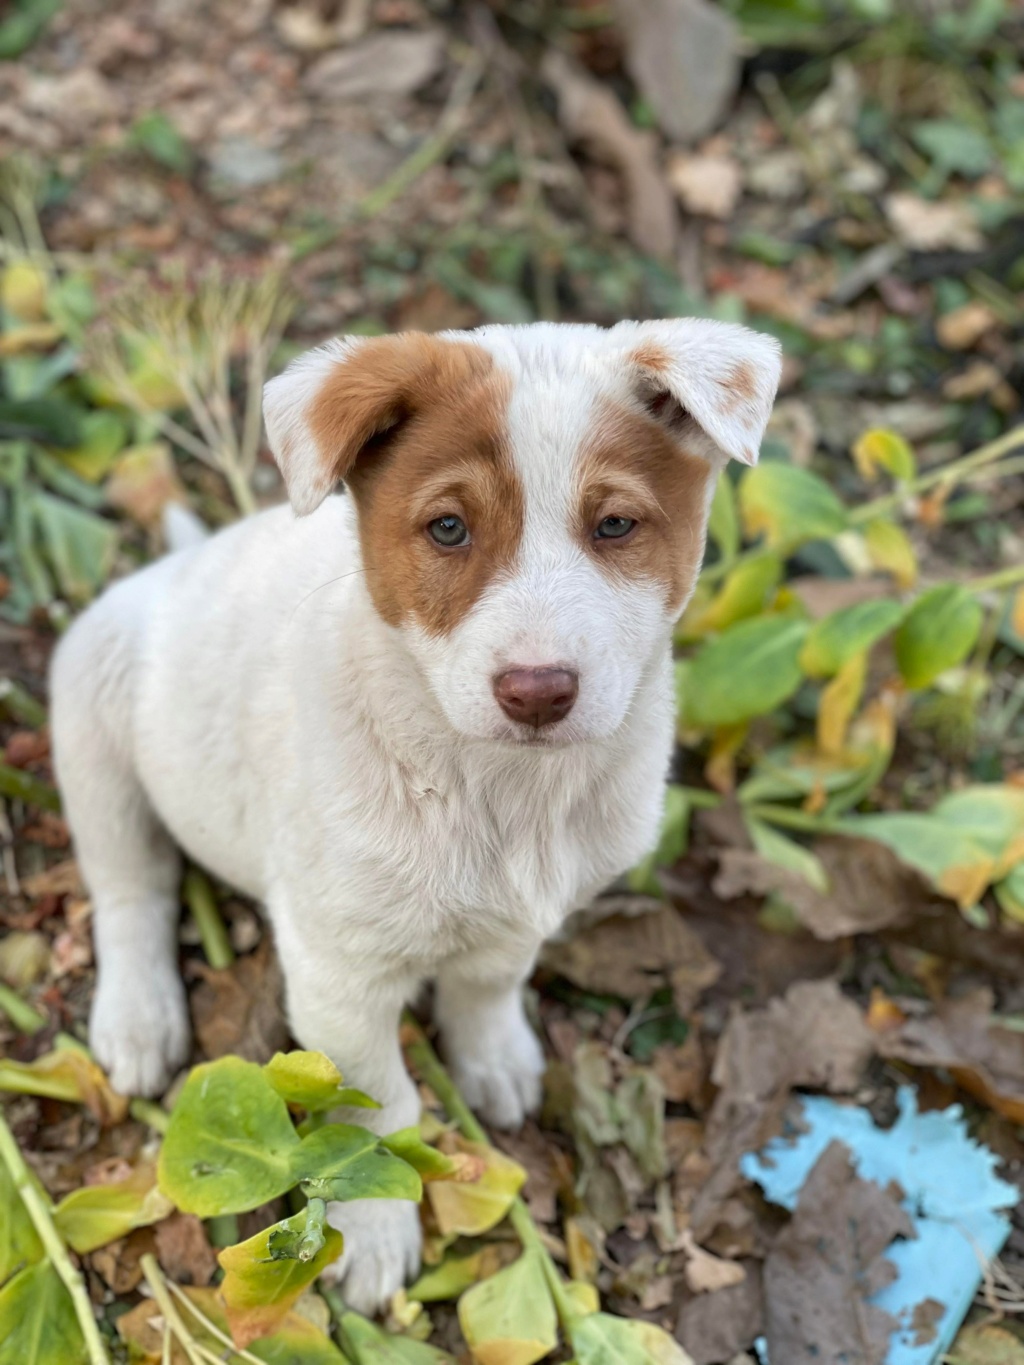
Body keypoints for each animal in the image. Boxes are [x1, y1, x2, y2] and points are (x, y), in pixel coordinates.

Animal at [50, 319, 775, 1310]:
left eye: (616, 525)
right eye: (448, 528)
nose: (537, 690)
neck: (500, 787)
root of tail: (173, 567)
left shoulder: (518, 921)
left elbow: (488, 983)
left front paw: (495, 1057)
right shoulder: (337, 974)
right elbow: (378, 1111)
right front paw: (374, 1232)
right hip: (92, 717)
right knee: (132, 888)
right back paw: (140, 1017)